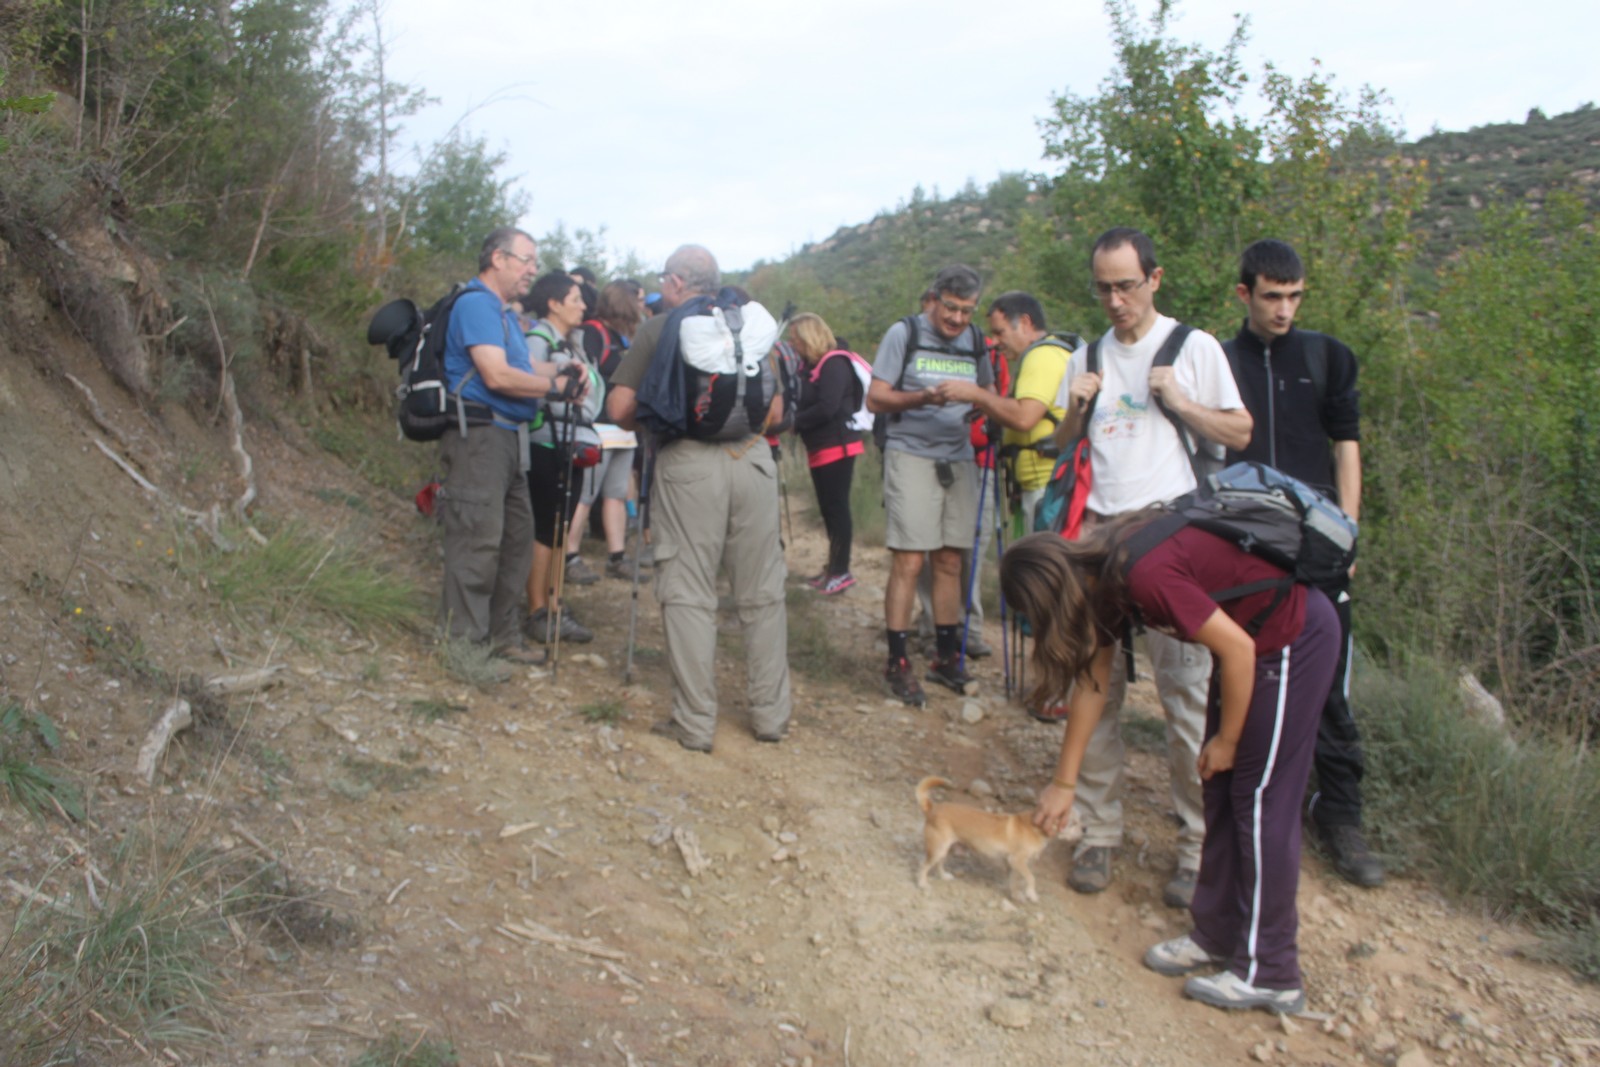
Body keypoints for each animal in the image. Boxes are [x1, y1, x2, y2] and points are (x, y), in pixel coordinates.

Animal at [915, 776, 1082, 903]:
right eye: (1073, 823)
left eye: (1079, 821)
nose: (1085, 829)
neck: (1036, 827)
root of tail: (933, 807)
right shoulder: (1018, 861)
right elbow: (1031, 878)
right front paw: (1031, 894)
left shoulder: (1011, 864)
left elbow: (1013, 881)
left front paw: (1016, 895)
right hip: (938, 849)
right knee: (923, 865)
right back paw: (922, 884)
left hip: (946, 849)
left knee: (939, 864)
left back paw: (943, 876)